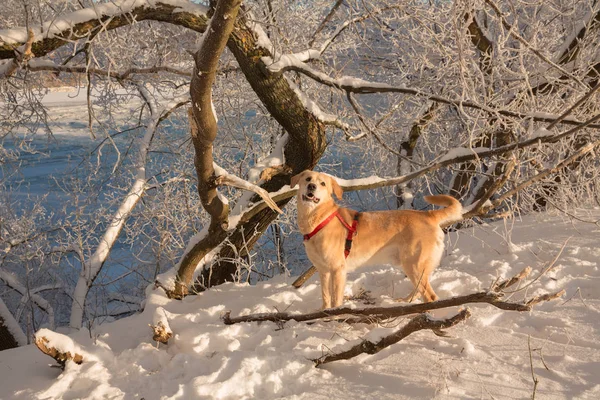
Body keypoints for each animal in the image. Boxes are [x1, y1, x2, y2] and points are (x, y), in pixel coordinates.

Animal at [292, 170, 464, 310]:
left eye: (322, 183)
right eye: (308, 179)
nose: (312, 186)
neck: (318, 220)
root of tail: (428, 215)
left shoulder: (337, 270)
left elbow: (335, 300)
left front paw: (335, 318)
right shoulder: (323, 271)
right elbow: (326, 296)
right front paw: (323, 313)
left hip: (414, 264)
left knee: (430, 296)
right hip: (413, 266)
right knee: (419, 291)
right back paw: (405, 302)